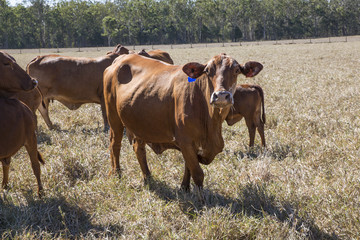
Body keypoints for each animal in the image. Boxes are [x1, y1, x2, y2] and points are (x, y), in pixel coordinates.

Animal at [0, 51, 44, 197]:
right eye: (6, 63)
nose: (34, 81)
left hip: (31, 139)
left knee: (35, 165)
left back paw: (40, 192)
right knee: (6, 163)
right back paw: (4, 185)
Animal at [102, 52, 262, 197]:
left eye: (236, 70)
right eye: (207, 71)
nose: (221, 96)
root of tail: (120, 59)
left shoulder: (193, 144)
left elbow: (189, 166)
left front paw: (184, 187)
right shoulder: (185, 141)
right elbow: (197, 172)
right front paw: (201, 199)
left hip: (139, 125)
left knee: (139, 149)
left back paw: (147, 177)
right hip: (114, 119)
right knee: (115, 145)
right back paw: (116, 173)